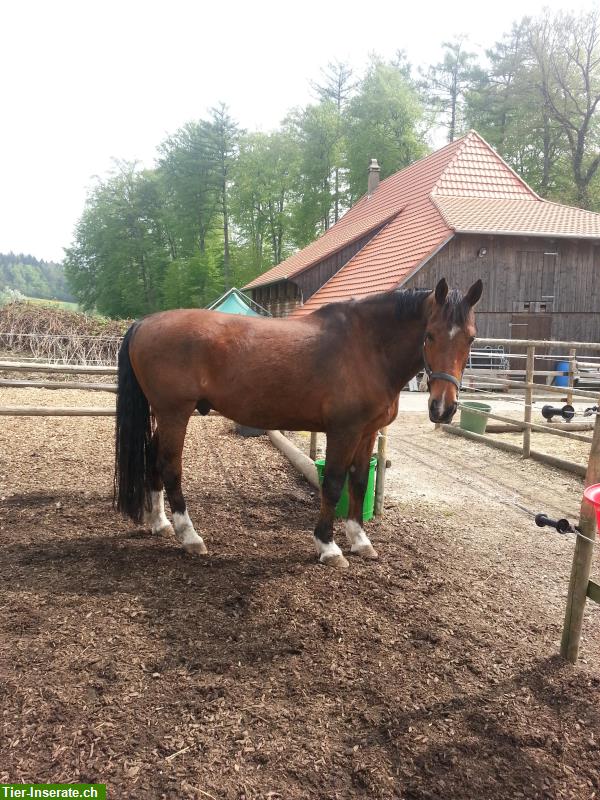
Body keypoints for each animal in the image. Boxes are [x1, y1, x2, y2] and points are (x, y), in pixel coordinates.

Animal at [116, 278, 482, 564]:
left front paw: (360, 540)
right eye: (430, 335)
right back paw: (190, 536)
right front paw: (328, 546)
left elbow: (359, 482)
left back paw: (160, 522)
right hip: (175, 413)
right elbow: (333, 484)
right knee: (170, 467)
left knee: (153, 459)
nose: (443, 408)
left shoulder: (367, 433)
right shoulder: (343, 432)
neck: (367, 347)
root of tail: (143, 323)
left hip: (165, 416)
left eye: (471, 338)